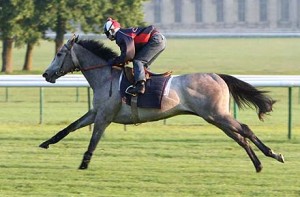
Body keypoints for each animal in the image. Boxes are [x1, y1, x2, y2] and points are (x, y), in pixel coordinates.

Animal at [39, 35, 284, 172]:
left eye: (59, 53)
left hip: (217, 114)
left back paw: (273, 154)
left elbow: (93, 140)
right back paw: (258, 164)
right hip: (215, 117)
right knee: (240, 138)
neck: (105, 77)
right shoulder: (95, 112)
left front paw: (84, 164)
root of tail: (218, 76)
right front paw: (45, 143)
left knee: (245, 130)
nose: (45, 74)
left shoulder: (104, 117)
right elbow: (69, 127)